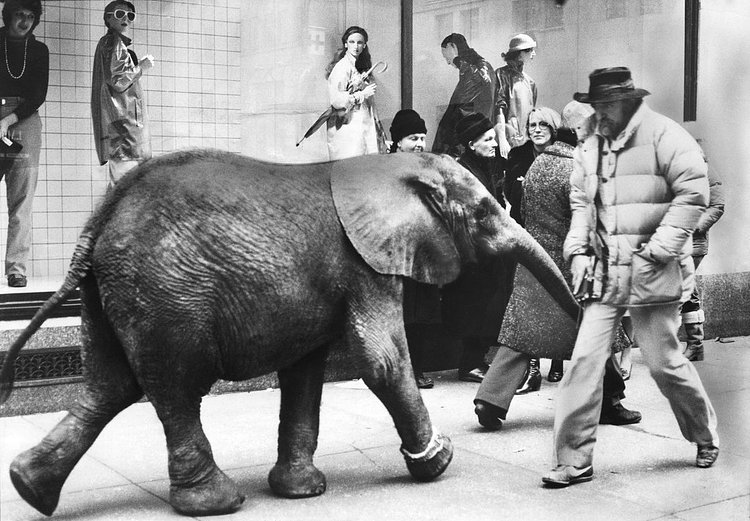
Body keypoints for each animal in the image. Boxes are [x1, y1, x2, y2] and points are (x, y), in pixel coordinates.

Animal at [0, 149, 580, 517]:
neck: (391, 165)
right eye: (484, 210)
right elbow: (382, 359)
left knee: (109, 386)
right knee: (174, 386)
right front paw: (438, 463)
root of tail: (99, 219)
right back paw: (216, 504)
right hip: (166, 295)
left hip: (110, 294)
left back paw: (29, 488)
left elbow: (306, 372)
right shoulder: (365, 264)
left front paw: (301, 492)